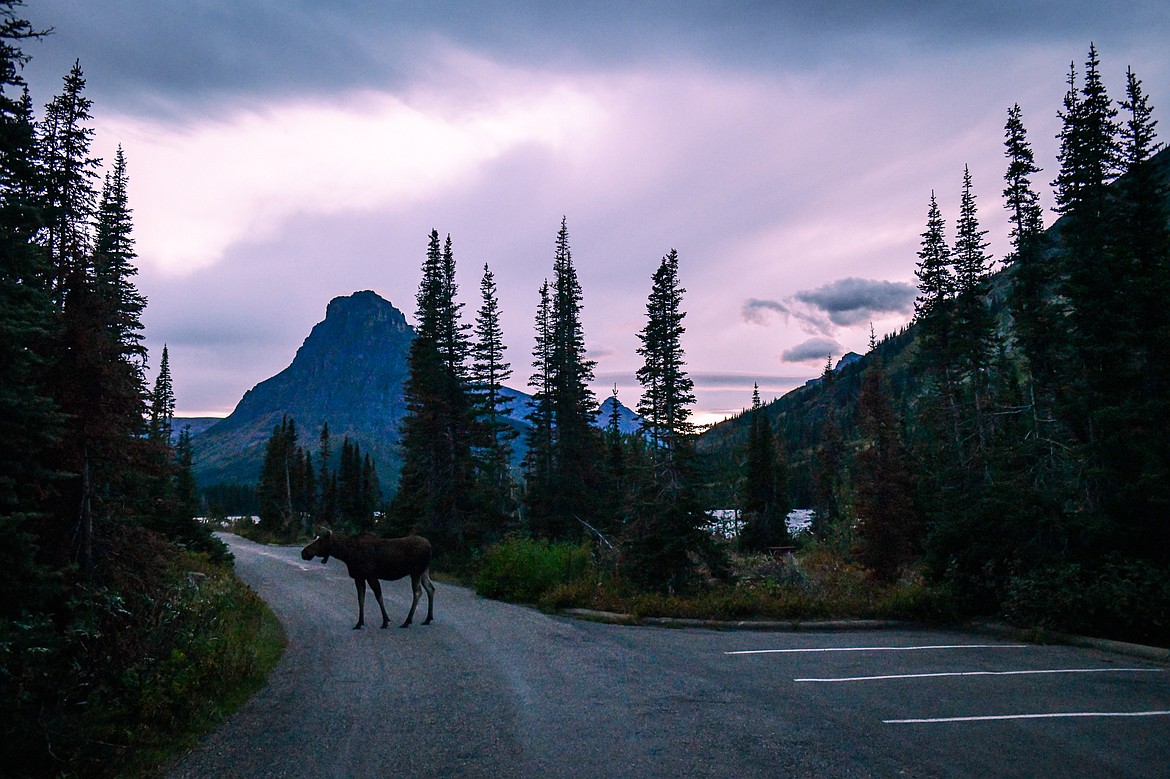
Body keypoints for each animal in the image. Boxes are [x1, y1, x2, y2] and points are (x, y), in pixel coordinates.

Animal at [299, 524, 437, 626]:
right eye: (315, 537)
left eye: (320, 540)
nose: (303, 552)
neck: (346, 554)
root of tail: (430, 546)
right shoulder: (359, 577)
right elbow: (361, 598)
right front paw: (359, 623)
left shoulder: (371, 575)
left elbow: (378, 596)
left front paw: (385, 621)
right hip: (424, 571)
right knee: (431, 588)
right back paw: (428, 618)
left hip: (415, 571)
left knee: (418, 592)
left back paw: (408, 621)